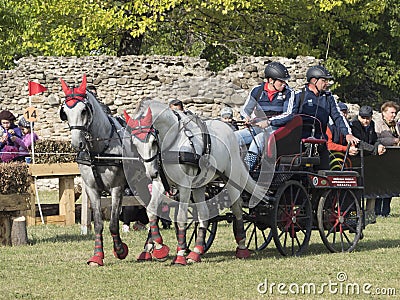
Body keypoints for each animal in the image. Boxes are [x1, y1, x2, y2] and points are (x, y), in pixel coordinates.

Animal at [59, 75, 130, 268]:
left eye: (84, 110)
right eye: (64, 112)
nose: (77, 144)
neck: (98, 150)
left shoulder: (117, 188)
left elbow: (113, 223)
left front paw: (120, 250)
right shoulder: (92, 189)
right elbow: (98, 223)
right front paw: (97, 256)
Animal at [126, 99, 268, 264]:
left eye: (154, 142)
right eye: (134, 143)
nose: (152, 173)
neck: (172, 144)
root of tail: (230, 131)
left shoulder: (184, 186)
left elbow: (181, 218)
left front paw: (180, 254)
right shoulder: (160, 184)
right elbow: (151, 210)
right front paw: (158, 248)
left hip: (231, 178)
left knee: (237, 209)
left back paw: (242, 248)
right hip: (200, 185)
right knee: (204, 214)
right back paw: (196, 252)